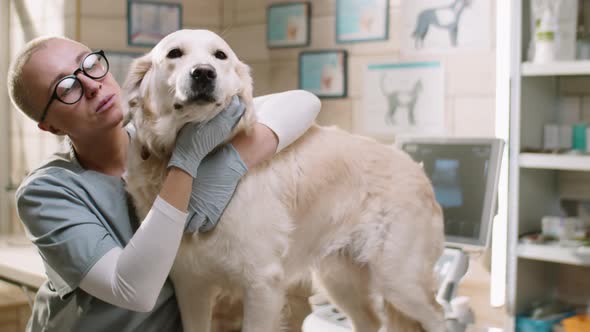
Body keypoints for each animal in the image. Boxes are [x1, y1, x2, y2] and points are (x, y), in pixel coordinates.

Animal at [126, 29, 448, 332]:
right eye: (174, 53)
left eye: (220, 55)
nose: (204, 72)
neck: (200, 164)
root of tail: (417, 170)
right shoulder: (191, 286)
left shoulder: (262, 284)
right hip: (340, 278)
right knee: (369, 320)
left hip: (398, 278)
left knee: (438, 316)